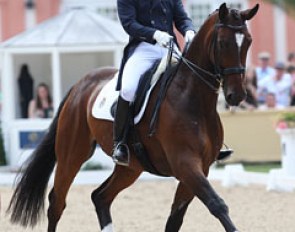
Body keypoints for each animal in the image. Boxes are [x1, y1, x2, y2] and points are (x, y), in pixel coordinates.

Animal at [8, 2, 260, 231]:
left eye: (248, 41)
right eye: (223, 43)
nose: (237, 95)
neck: (193, 99)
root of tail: (79, 85)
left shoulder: (201, 167)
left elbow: (175, 219)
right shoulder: (185, 164)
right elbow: (217, 205)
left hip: (130, 167)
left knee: (100, 197)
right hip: (72, 154)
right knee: (57, 203)